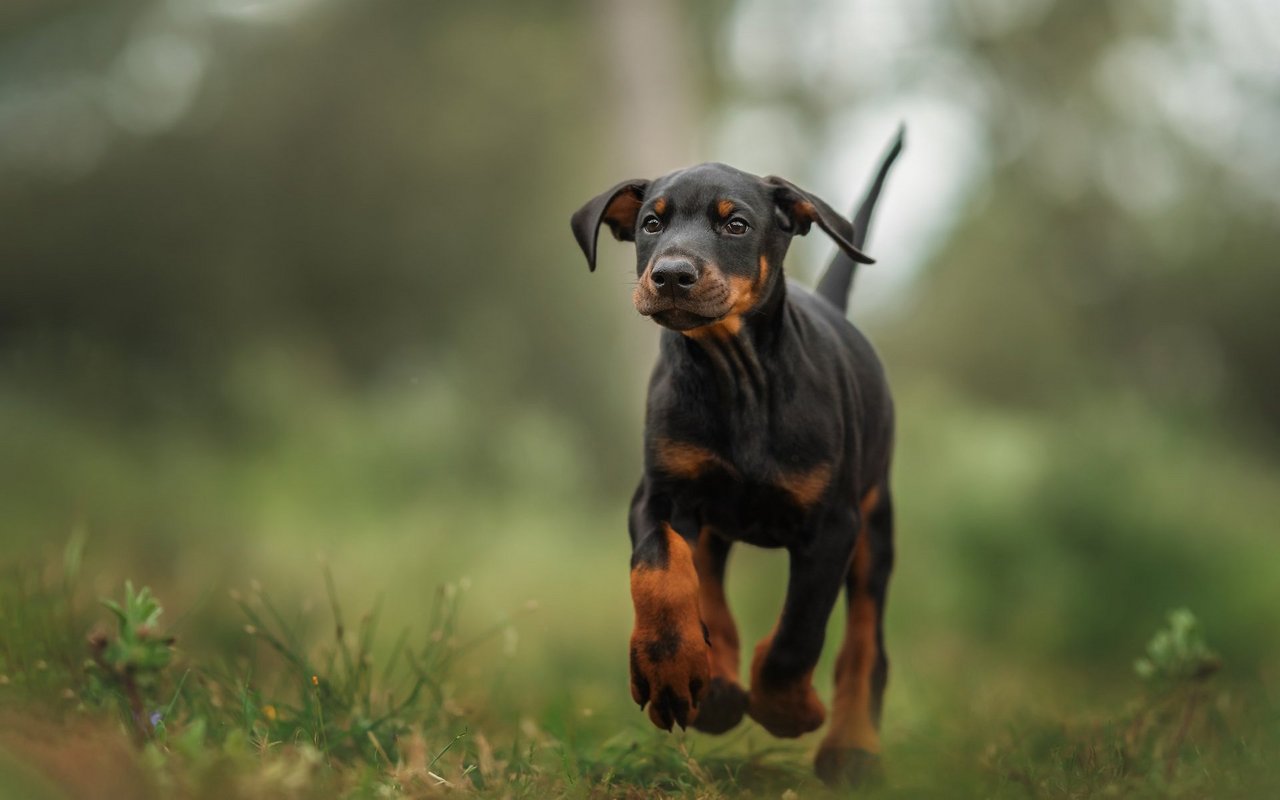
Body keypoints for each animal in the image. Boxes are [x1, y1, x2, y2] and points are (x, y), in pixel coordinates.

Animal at [565, 128, 906, 783]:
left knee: (865, 641)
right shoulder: (660, 494)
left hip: (875, 524)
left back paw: (851, 747)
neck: (735, 376)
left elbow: (799, 632)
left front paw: (787, 710)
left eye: (737, 225)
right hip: (713, 518)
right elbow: (659, 573)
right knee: (707, 584)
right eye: (651, 223)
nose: (671, 276)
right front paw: (669, 671)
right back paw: (716, 686)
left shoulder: (833, 525)